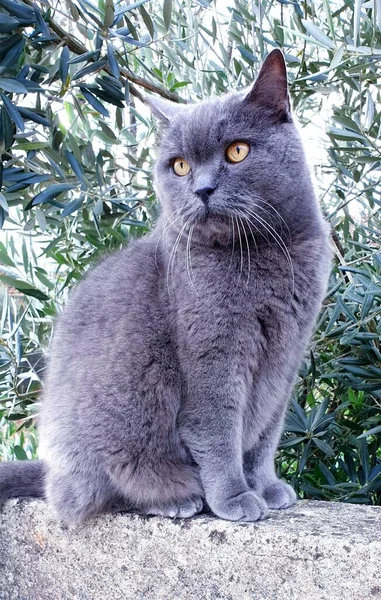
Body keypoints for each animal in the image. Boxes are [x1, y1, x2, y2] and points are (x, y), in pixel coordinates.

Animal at [0, 49, 332, 524]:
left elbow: (264, 436)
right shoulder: (213, 352)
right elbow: (219, 432)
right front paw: (235, 497)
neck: (266, 253)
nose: (203, 189)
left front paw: (266, 487)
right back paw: (176, 497)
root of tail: (49, 469)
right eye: (179, 165)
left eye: (237, 151)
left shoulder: (286, 359)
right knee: (97, 490)